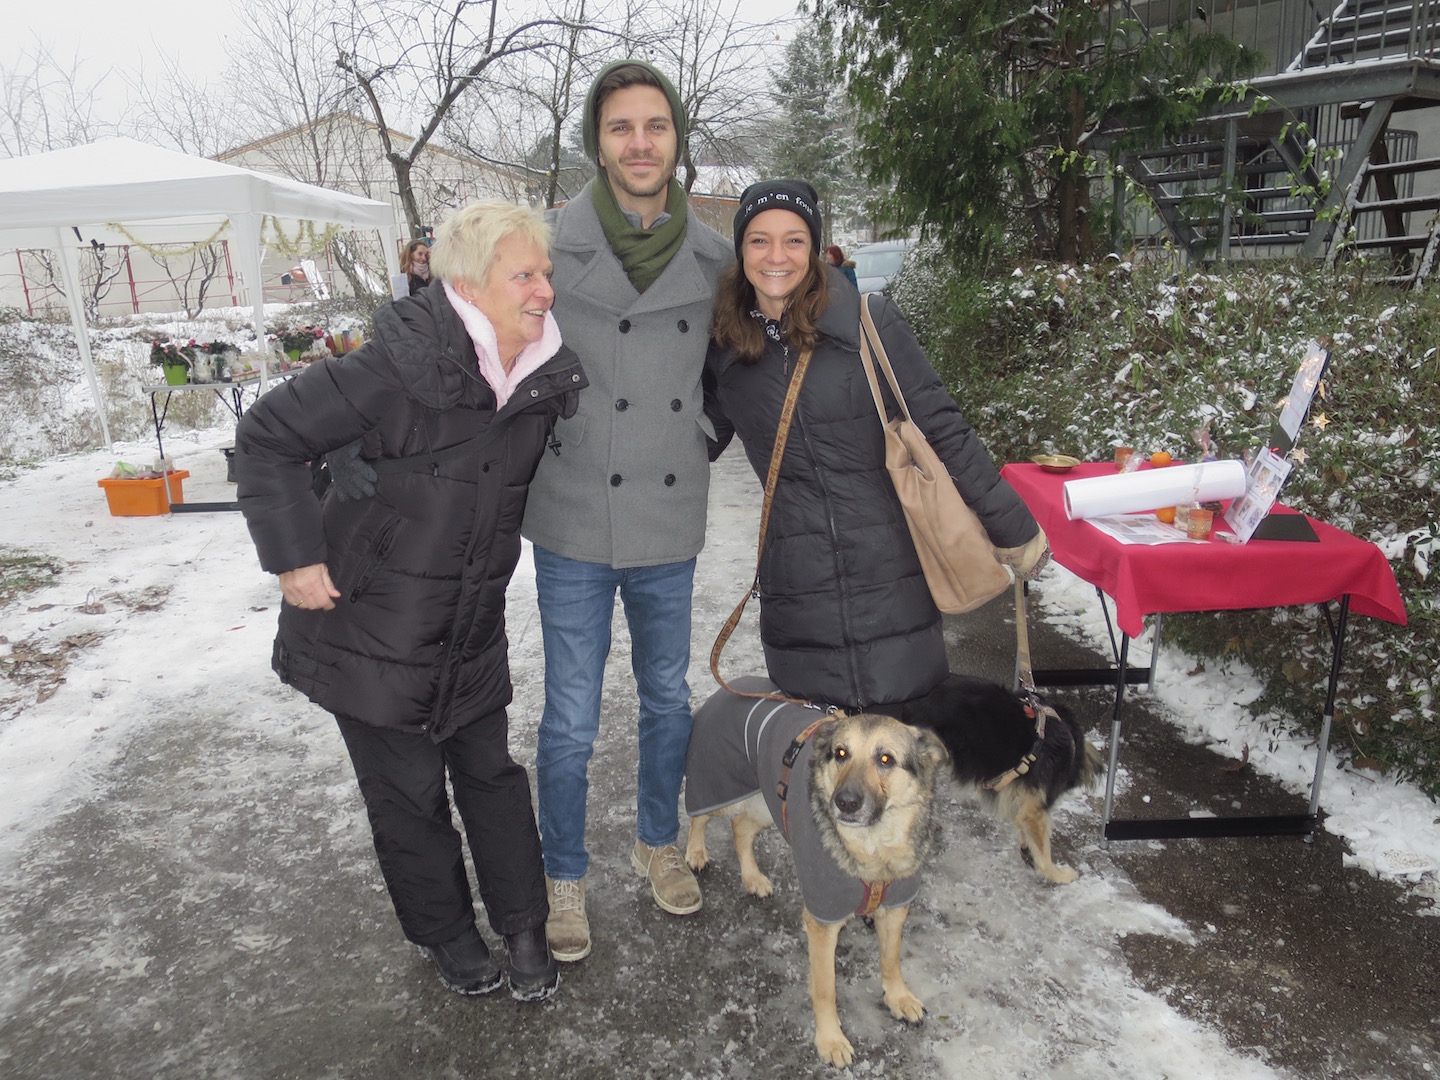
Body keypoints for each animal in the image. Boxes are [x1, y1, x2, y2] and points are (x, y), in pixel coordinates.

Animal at [684, 678, 951, 1067]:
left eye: (885, 759)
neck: (873, 845)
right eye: (840, 753)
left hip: (766, 803)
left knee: (740, 828)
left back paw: (752, 878)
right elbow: (825, 989)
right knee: (698, 813)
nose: (845, 803)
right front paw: (830, 1039)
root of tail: (735, 684)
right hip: (720, 787)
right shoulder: (823, 922)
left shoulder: (896, 907)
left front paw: (897, 996)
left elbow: (891, 959)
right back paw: (695, 851)